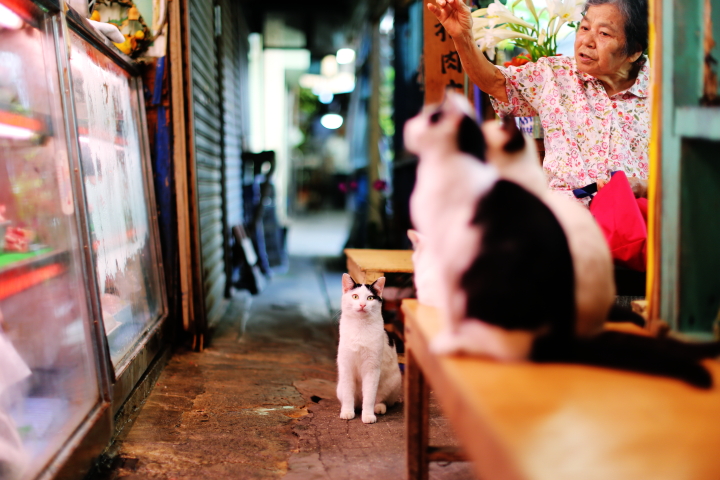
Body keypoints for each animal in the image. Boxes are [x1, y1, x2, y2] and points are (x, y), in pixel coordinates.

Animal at [336, 274, 402, 424]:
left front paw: (367, 415)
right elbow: (348, 395)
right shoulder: (346, 367)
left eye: (370, 298)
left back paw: (378, 408)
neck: (360, 326)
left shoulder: (372, 368)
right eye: (355, 296)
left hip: (393, 382)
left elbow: (370, 396)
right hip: (339, 387)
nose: (362, 304)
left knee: (380, 399)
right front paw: (347, 412)